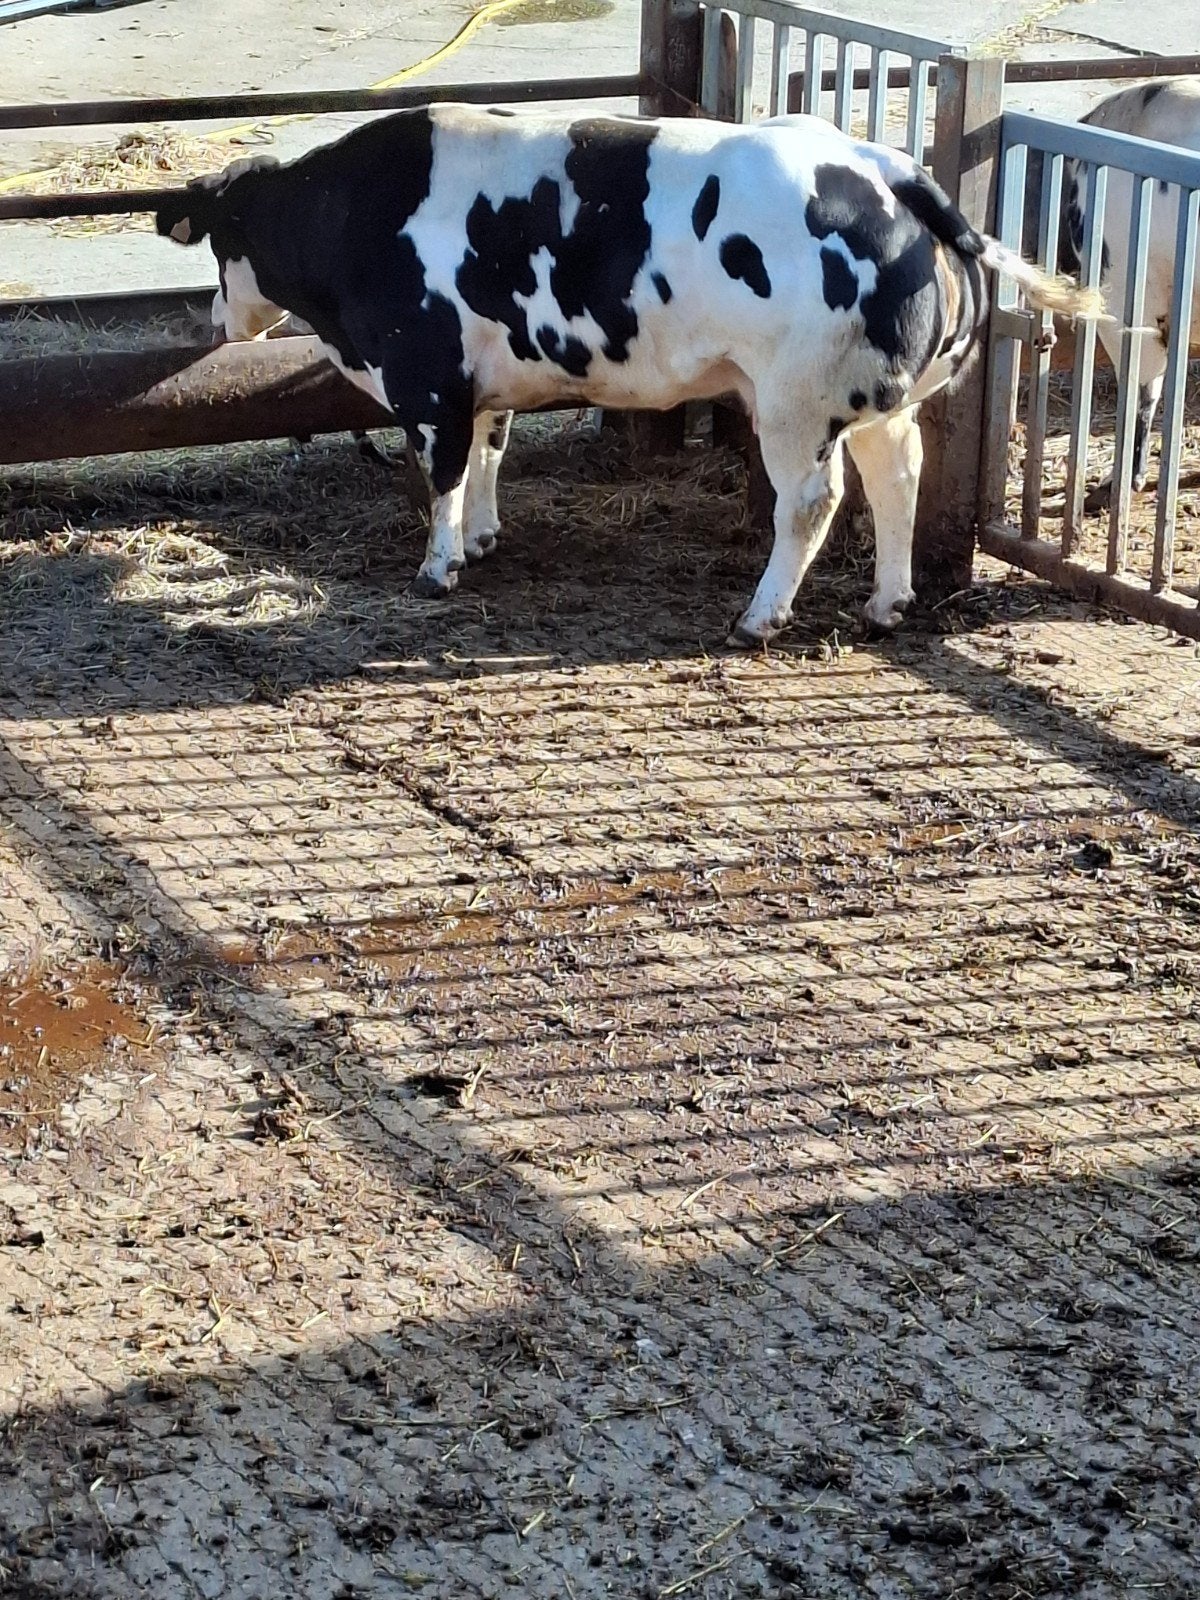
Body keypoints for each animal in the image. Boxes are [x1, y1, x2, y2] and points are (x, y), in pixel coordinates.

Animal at [156, 104, 1099, 645]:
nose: (215, 322)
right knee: (897, 474)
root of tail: (887, 170)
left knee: (811, 502)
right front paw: (485, 538)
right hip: (872, 404)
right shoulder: (487, 376)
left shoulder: (427, 377)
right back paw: (888, 602)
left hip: (794, 404)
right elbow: (492, 452)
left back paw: (759, 618)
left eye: (222, 237)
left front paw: (438, 565)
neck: (359, 212)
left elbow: (445, 473)